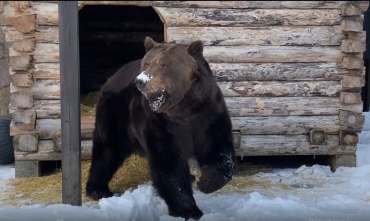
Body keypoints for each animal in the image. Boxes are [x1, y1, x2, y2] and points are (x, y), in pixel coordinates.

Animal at [86, 36, 237, 219]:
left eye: (164, 65)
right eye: (147, 63)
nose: (141, 81)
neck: (183, 111)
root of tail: (112, 77)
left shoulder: (207, 115)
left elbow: (219, 149)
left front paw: (206, 182)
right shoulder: (160, 123)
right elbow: (168, 163)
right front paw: (189, 210)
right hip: (115, 114)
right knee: (108, 151)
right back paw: (98, 189)